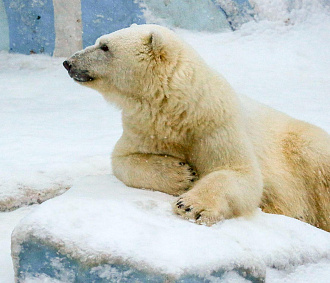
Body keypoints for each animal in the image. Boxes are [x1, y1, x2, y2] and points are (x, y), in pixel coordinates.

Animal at [63, 24, 330, 232]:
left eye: (104, 46)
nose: (68, 62)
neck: (179, 109)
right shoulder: (144, 127)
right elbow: (123, 159)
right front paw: (181, 174)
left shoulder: (217, 124)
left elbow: (239, 172)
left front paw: (191, 206)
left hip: (305, 151)